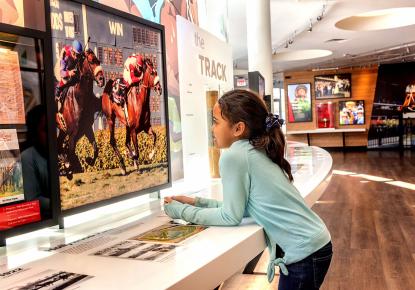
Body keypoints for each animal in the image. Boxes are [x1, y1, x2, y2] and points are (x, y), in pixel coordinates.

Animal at [57, 48, 105, 178]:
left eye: (98, 61)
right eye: (91, 61)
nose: (101, 79)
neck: (80, 97)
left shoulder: (86, 128)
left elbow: (95, 148)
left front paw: (89, 160)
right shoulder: (73, 132)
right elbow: (71, 151)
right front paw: (70, 167)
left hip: (63, 131)